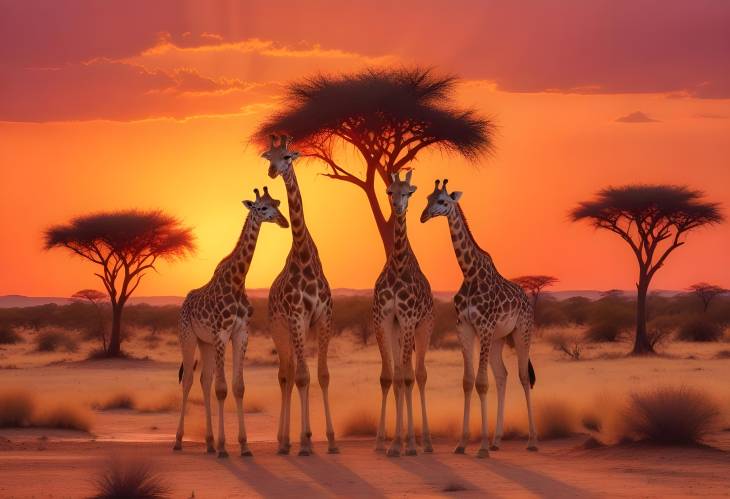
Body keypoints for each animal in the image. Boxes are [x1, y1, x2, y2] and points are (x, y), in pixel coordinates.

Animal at [175, 187, 288, 458]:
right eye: (262, 207)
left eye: (277, 204)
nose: (283, 221)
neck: (237, 281)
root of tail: (183, 303)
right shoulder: (221, 334)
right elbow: (222, 389)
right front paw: (224, 447)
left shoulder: (240, 333)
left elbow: (237, 387)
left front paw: (243, 446)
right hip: (188, 337)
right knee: (189, 381)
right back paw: (179, 440)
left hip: (204, 343)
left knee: (204, 380)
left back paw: (208, 442)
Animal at [420, 179, 536, 458]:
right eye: (428, 198)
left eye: (443, 201)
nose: (423, 216)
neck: (469, 272)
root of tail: (528, 300)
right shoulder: (465, 328)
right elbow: (468, 381)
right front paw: (462, 444)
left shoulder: (484, 326)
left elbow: (482, 383)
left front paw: (480, 448)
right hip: (498, 339)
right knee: (502, 375)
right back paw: (496, 440)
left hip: (522, 332)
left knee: (523, 376)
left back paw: (531, 441)